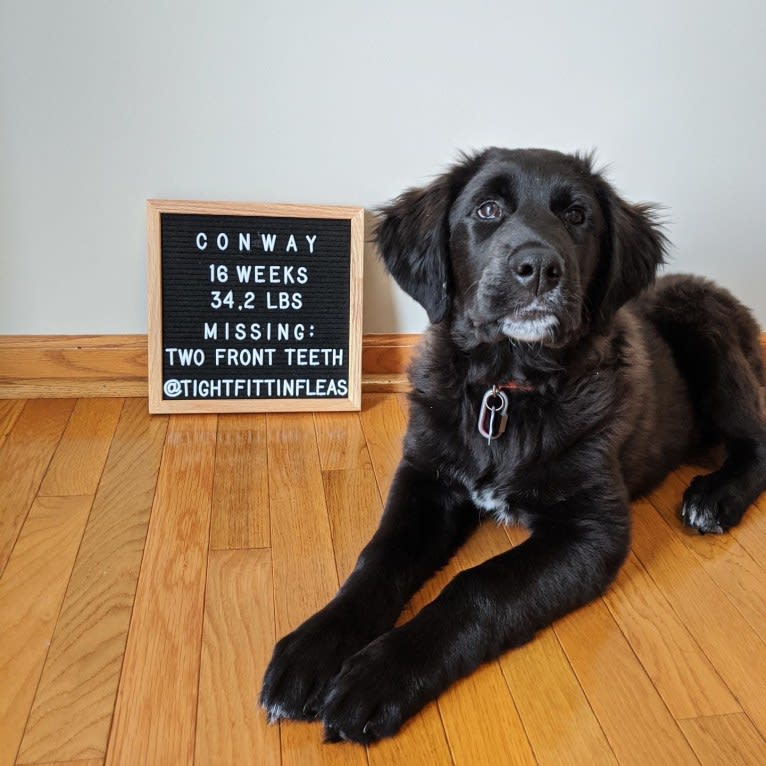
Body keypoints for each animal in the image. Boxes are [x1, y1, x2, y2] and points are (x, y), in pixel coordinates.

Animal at [260, 146, 766, 744]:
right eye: (487, 209)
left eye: (577, 216)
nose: (540, 269)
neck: (505, 388)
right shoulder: (426, 478)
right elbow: (378, 556)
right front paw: (314, 649)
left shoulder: (591, 530)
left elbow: (478, 587)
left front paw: (377, 675)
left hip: (704, 328)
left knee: (757, 439)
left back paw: (714, 497)